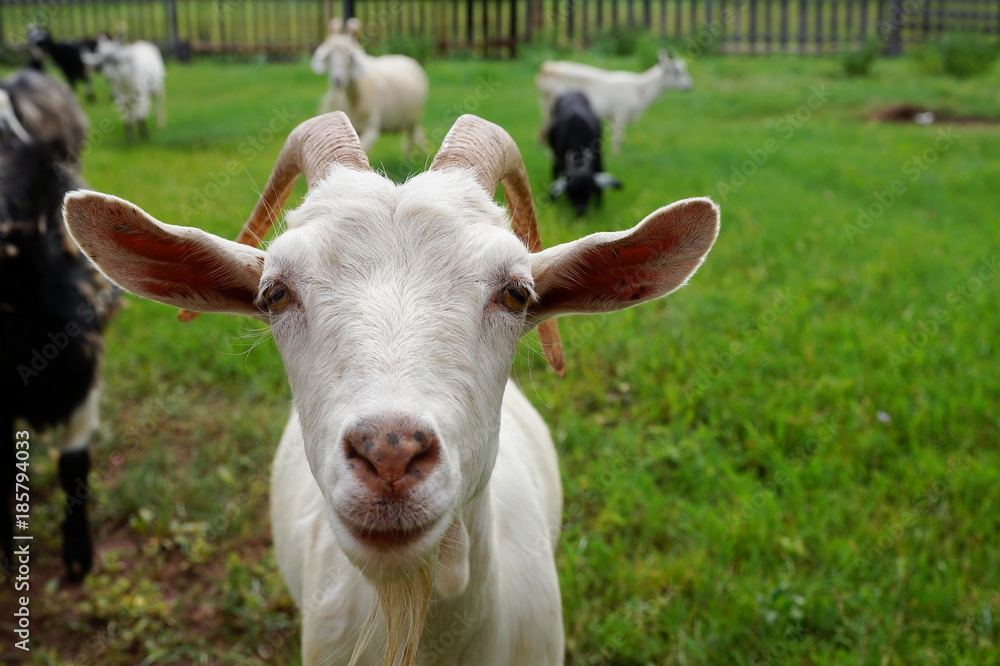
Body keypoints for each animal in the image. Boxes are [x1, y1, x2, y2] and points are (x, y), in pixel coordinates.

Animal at [308, 17, 426, 154]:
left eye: (349, 57)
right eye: (329, 56)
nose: (337, 80)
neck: (354, 98)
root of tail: (406, 58)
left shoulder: (371, 128)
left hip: (412, 118)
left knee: (410, 141)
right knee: (418, 135)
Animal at [536, 49, 692, 153]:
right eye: (677, 72)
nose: (689, 85)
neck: (640, 89)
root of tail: (547, 68)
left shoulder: (612, 118)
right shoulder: (620, 115)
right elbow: (618, 138)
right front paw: (617, 156)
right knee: (544, 132)